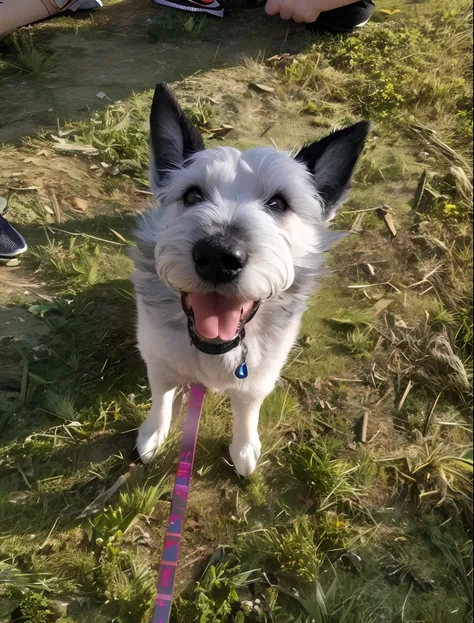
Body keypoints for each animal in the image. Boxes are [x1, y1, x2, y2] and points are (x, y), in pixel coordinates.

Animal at [131, 83, 370, 478]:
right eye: (192, 195)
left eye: (278, 204)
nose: (218, 256)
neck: (215, 349)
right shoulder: (158, 361)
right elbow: (161, 398)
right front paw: (153, 433)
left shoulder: (258, 377)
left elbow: (246, 411)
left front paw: (243, 449)